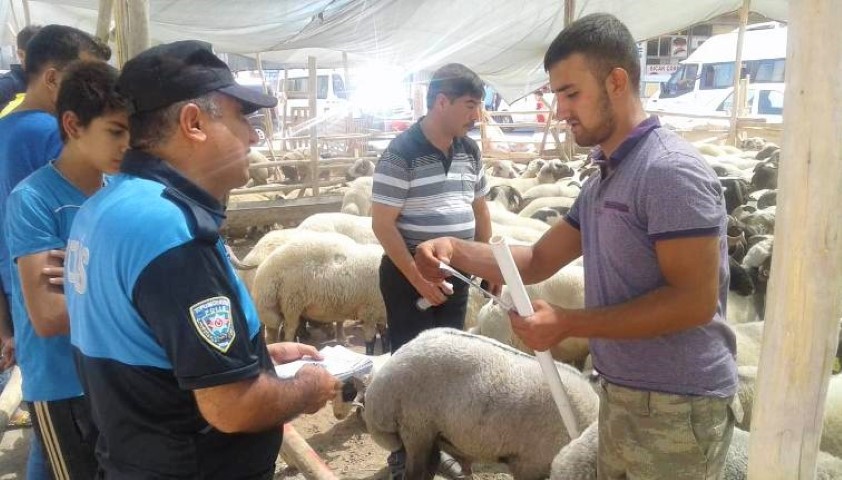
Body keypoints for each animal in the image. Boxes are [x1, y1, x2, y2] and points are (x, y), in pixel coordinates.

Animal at [249, 234, 388, 354]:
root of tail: (265, 270)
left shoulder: (381, 313)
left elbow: (384, 334)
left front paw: (386, 352)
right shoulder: (370, 312)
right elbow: (370, 341)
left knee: (273, 332)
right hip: (291, 303)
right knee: (289, 329)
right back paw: (291, 344)